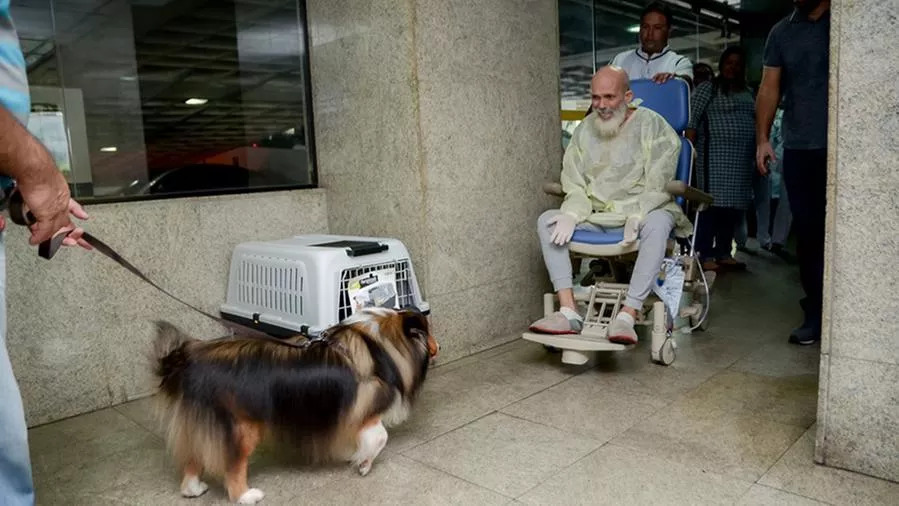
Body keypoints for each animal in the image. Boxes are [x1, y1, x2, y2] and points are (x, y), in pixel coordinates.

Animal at [151, 306, 440, 504]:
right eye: (429, 330)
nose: (439, 345)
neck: (380, 345)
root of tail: (188, 360)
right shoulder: (366, 411)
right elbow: (380, 437)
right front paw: (364, 464)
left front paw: (353, 454)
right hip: (242, 427)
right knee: (233, 466)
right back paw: (246, 496)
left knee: (192, 459)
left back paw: (193, 489)